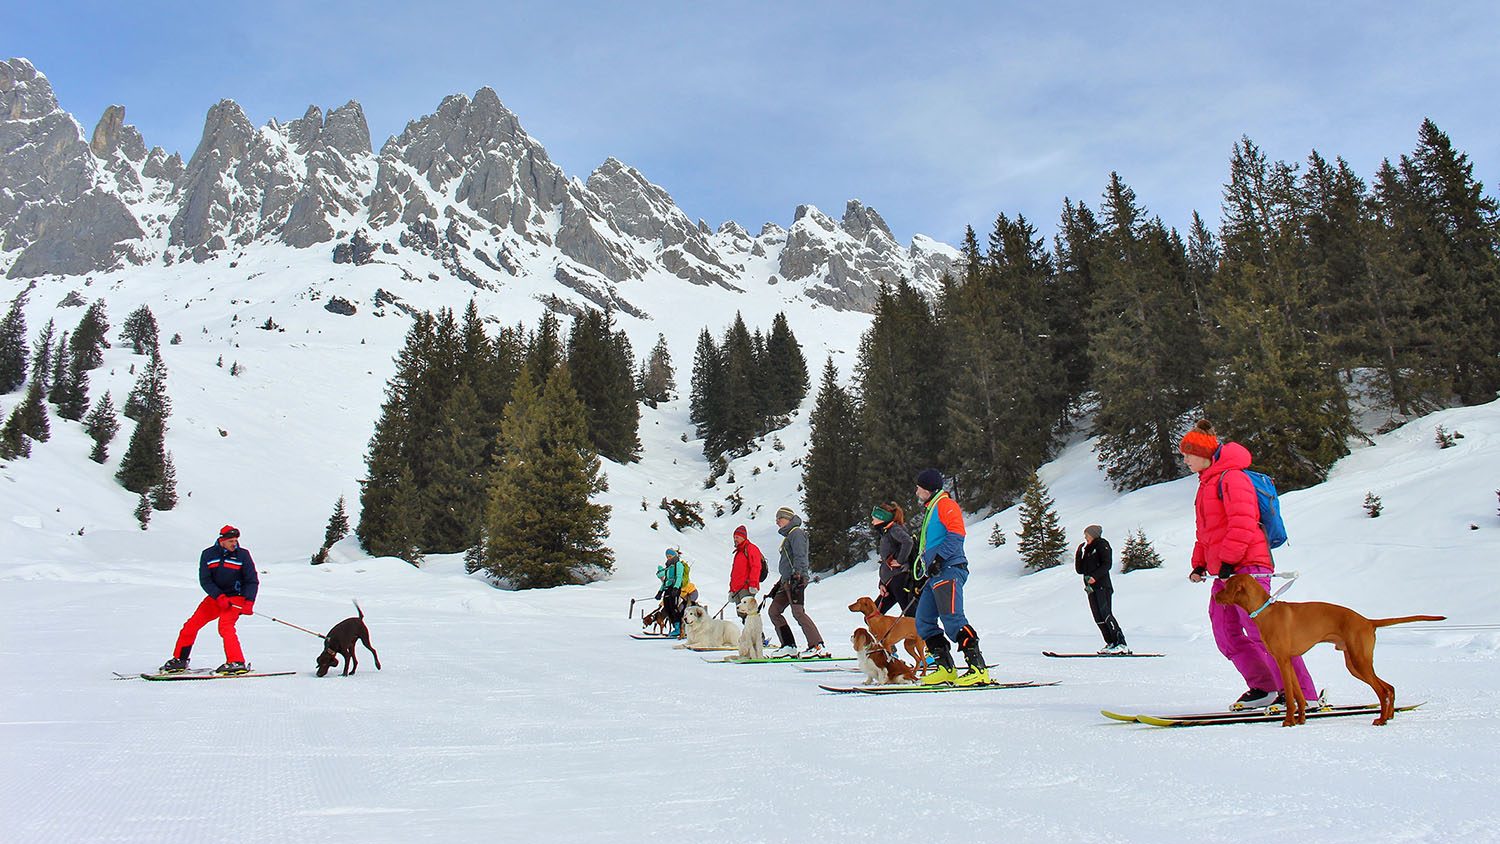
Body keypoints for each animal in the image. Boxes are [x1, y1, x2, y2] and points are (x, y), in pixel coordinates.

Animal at [1212, 575, 1446, 725]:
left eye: (1226, 586)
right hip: (1355, 664)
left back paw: (1381, 719)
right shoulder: (1289, 659)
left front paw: (1288, 722)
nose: (1215, 597)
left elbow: (1290, 696)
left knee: (1382, 690)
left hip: (1359, 661)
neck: (1265, 611)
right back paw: (1389, 716)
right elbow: (1299, 697)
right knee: (1389, 688)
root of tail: (1367, 621)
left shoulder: (1281, 660)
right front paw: (1301, 720)